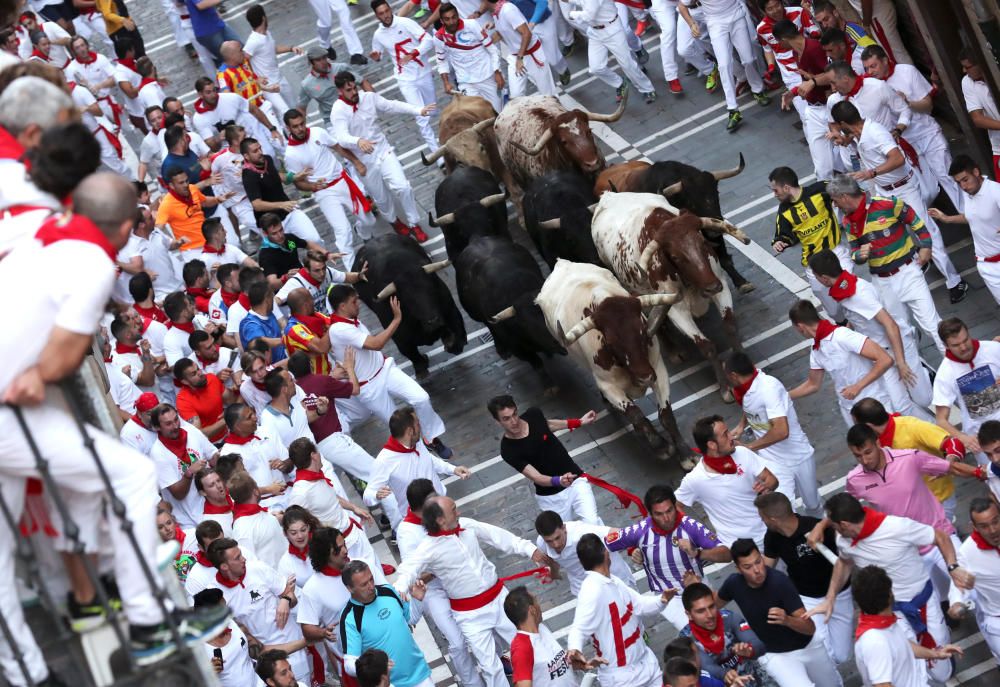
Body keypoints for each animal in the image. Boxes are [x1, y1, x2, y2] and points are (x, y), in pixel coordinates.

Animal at [532, 260, 696, 468]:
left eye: (643, 328)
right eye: (610, 343)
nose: (644, 377)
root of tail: (561, 262)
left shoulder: (658, 369)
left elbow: (666, 415)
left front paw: (686, 454)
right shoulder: (609, 386)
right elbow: (635, 414)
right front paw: (661, 447)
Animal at [584, 191, 752, 404]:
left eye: (703, 243)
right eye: (676, 257)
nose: (711, 287)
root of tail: (607, 195)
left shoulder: (720, 284)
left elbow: (730, 326)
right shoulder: (677, 311)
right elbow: (706, 346)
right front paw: (725, 388)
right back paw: (673, 351)